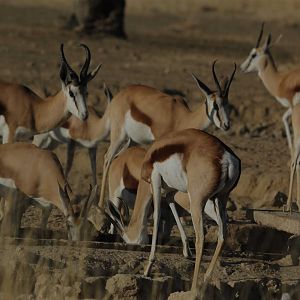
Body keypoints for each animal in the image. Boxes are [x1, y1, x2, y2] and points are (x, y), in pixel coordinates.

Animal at [98, 61, 237, 209]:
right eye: (215, 105)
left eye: (228, 104)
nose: (226, 125)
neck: (181, 117)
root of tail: (118, 96)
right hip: (118, 136)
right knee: (107, 158)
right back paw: (100, 204)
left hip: (132, 140)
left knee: (117, 157)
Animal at [106, 127, 241, 296]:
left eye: (125, 238)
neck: (152, 155)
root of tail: (225, 156)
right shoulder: (171, 191)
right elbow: (172, 207)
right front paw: (186, 251)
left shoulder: (155, 181)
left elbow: (157, 215)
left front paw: (147, 269)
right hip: (221, 198)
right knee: (222, 235)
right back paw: (205, 282)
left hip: (197, 202)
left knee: (200, 238)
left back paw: (194, 288)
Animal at [239, 23, 298, 155]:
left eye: (254, 54)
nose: (241, 67)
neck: (281, 81)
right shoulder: (292, 107)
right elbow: (284, 118)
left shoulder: (293, 105)